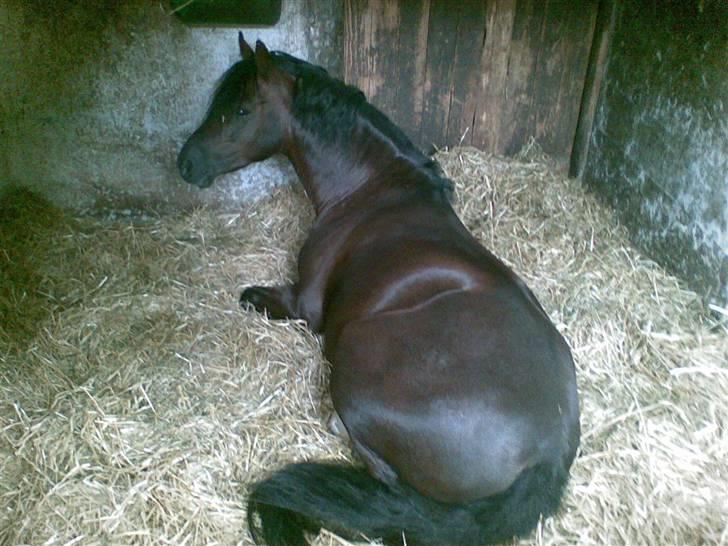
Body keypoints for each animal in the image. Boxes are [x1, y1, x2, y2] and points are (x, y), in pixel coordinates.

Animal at [177, 34, 580, 546]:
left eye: (243, 109)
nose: (185, 163)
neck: (372, 188)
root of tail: (547, 455)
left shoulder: (301, 305)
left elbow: (250, 296)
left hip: (354, 350)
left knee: (386, 479)